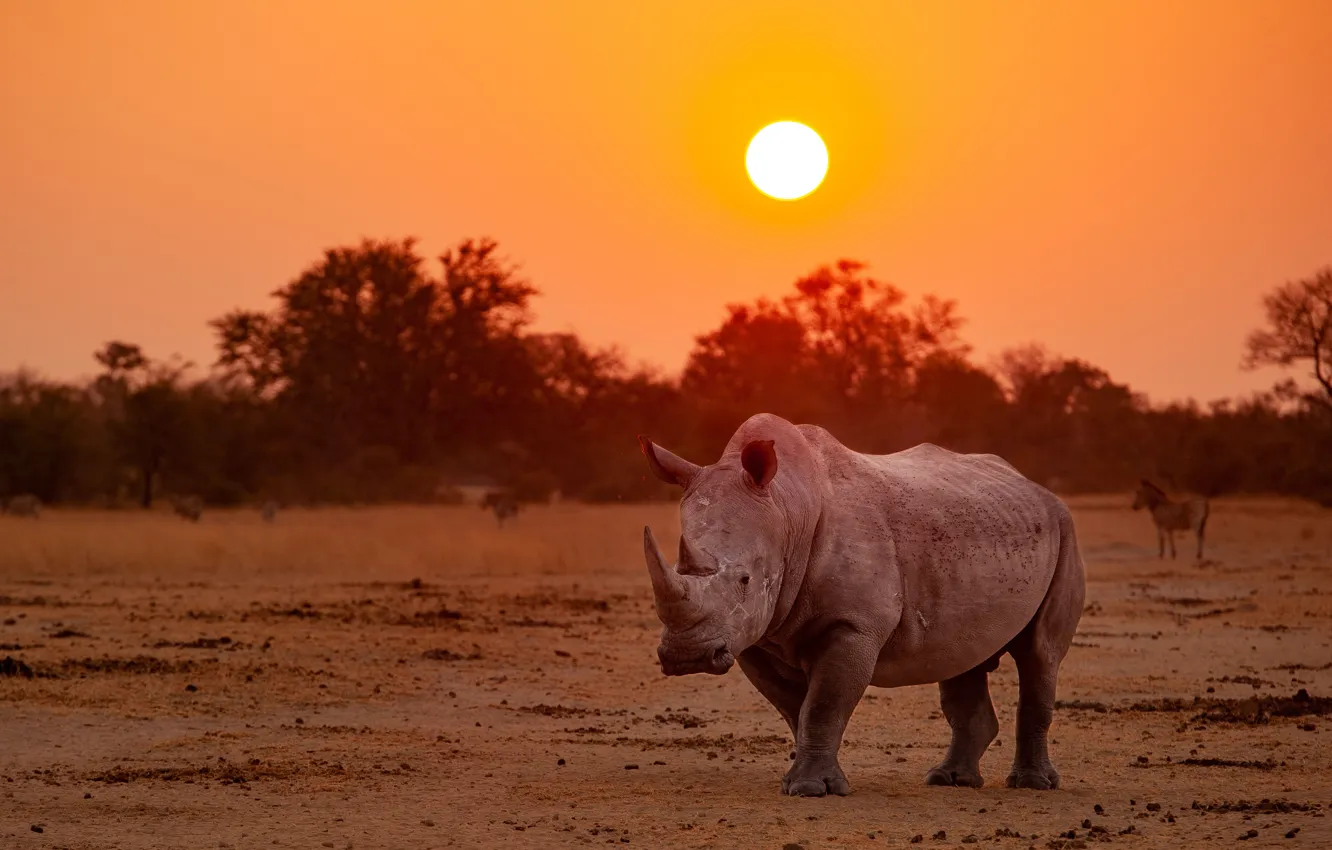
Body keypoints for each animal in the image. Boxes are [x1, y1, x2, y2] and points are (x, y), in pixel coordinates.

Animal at [638, 413, 1085, 797]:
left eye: (745, 580)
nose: (687, 656)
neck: (787, 507)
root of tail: (1035, 486)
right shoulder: (753, 635)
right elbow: (795, 708)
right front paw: (799, 779)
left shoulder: (853, 624)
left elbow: (823, 704)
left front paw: (811, 789)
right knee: (963, 657)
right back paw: (950, 780)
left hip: (1064, 530)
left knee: (1040, 654)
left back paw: (1032, 785)